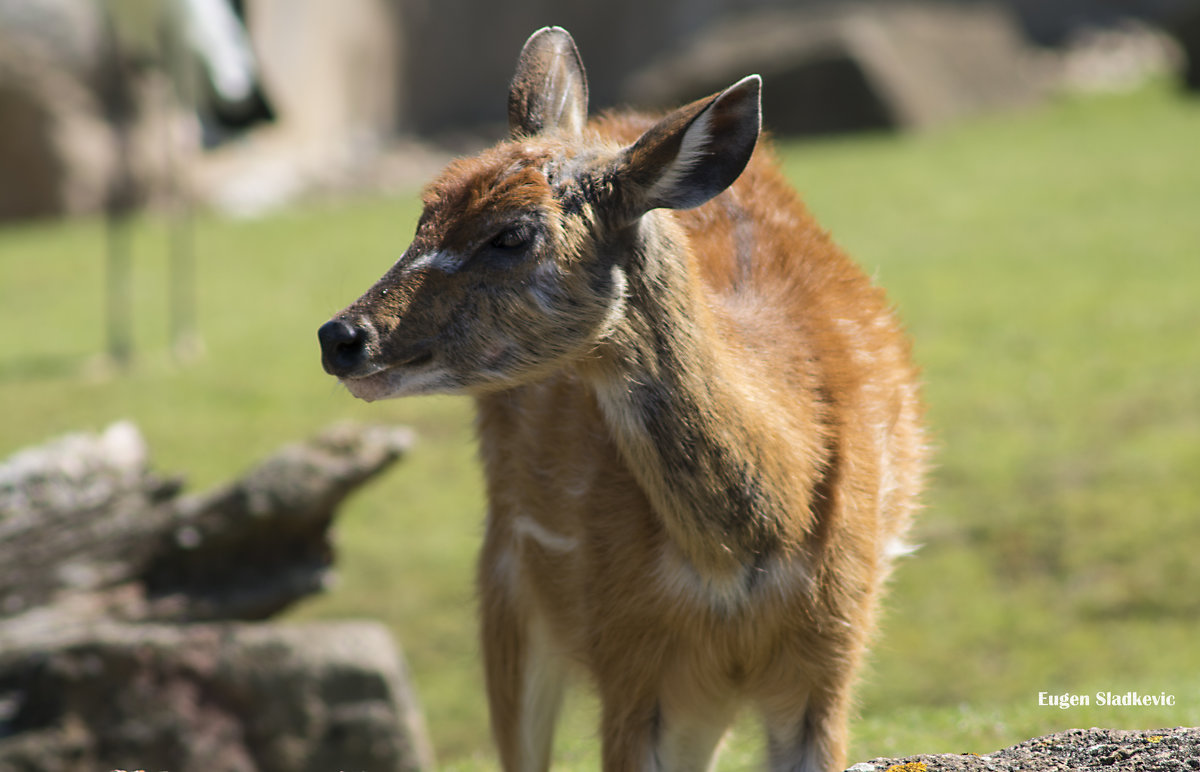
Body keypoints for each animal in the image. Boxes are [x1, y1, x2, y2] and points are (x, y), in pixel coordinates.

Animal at [319, 25, 926, 772]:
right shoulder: (629, 656)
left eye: (512, 233)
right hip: (506, 571)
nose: (340, 337)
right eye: (423, 215)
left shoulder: (832, 652)